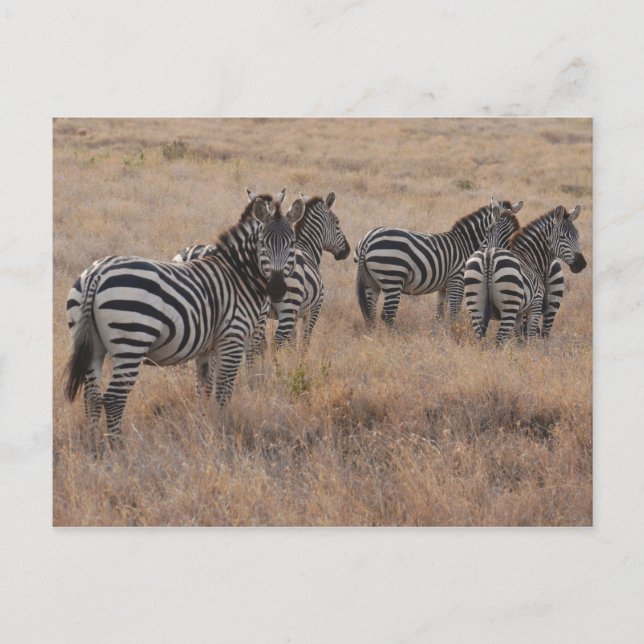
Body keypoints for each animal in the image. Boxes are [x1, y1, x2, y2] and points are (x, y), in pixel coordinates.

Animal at [64, 192, 304, 450]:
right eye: (262, 243)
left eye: (291, 243)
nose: (277, 289)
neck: (238, 275)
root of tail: (96, 273)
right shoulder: (232, 338)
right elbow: (223, 390)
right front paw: (222, 427)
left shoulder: (207, 348)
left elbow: (203, 388)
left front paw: (204, 424)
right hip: (131, 342)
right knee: (113, 398)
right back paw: (117, 448)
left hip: (92, 345)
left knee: (91, 396)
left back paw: (93, 446)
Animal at [354, 199, 523, 327]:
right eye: (490, 230)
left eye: (513, 234)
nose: (506, 257)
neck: (465, 243)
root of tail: (367, 239)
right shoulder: (457, 280)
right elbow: (454, 311)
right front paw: (454, 331)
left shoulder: (444, 286)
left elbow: (440, 313)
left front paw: (441, 332)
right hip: (392, 277)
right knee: (387, 314)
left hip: (371, 281)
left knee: (370, 312)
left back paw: (374, 334)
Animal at [463, 204, 586, 344]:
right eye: (562, 236)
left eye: (577, 235)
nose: (581, 263)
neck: (531, 258)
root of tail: (489, 256)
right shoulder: (535, 305)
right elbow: (530, 336)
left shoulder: (521, 312)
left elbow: (520, 337)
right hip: (512, 305)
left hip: (477, 305)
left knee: (482, 337)